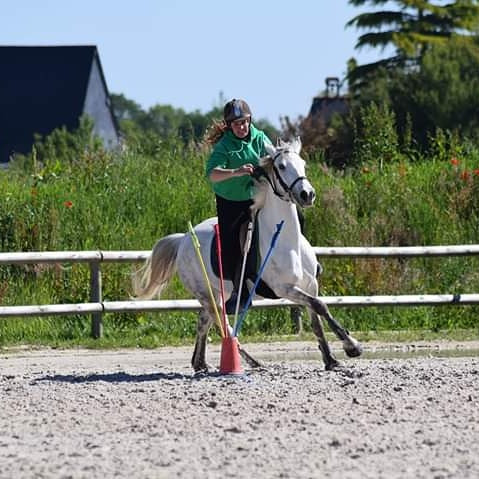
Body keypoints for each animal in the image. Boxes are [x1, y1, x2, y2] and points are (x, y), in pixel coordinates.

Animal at [132, 137, 362, 371]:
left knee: (204, 322)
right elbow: (319, 305)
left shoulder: (310, 285)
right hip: (207, 294)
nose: (307, 194)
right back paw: (248, 361)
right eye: (281, 166)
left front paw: (331, 359)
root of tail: (184, 239)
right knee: (221, 325)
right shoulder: (285, 289)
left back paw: (201, 363)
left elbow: (317, 318)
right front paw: (351, 346)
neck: (287, 242)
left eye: (303, 164)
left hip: (216, 293)